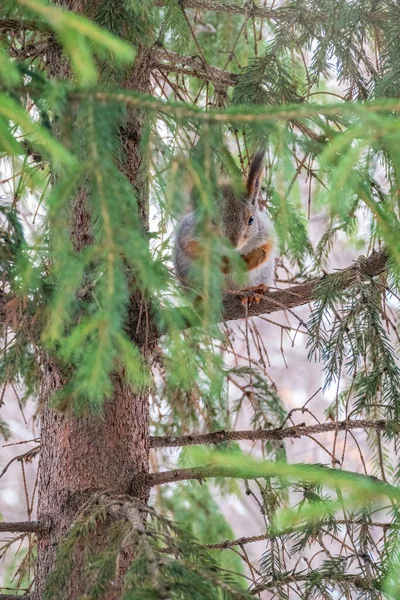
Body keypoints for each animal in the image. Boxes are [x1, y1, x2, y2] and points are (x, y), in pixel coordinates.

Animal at [172, 148, 276, 302]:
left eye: (251, 220)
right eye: (213, 220)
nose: (233, 243)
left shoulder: (266, 232)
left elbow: (265, 250)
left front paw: (246, 262)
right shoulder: (187, 234)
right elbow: (194, 250)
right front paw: (223, 264)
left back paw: (255, 291)